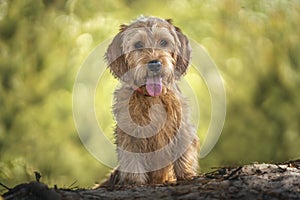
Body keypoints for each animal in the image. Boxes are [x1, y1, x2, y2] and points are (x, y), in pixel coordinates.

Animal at [103, 16, 199, 185]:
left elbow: (183, 153)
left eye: (163, 42)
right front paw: (135, 182)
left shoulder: (182, 128)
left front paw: (186, 175)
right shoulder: (130, 135)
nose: (155, 64)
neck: (152, 98)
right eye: (138, 45)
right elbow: (132, 161)